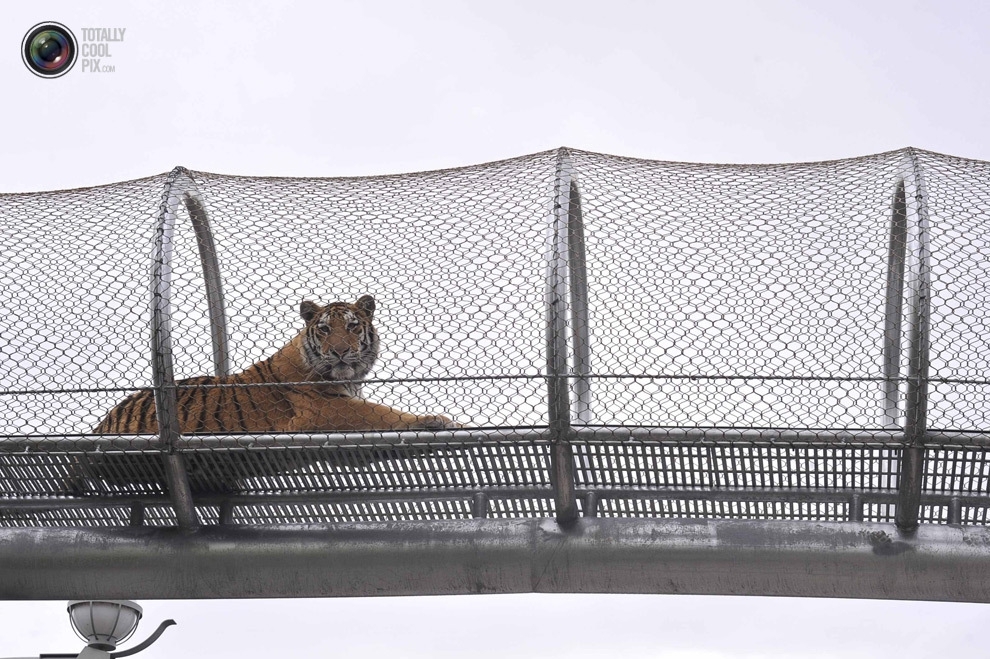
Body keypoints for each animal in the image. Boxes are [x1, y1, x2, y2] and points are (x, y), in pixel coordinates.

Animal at [73, 296, 462, 492]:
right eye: (325, 330)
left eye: (353, 326)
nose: (339, 352)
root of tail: (100, 426)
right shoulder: (326, 411)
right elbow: (383, 413)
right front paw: (437, 419)